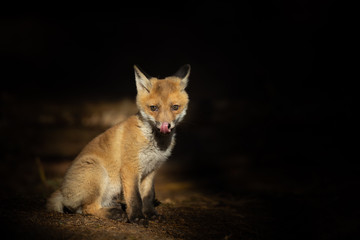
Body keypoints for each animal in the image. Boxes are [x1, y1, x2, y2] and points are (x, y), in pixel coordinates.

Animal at [47, 64, 191, 225]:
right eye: (153, 108)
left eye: (175, 107)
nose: (166, 125)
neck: (155, 145)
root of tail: (61, 190)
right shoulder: (130, 168)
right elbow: (135, 198)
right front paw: (137, 218)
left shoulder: (151, 171)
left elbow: (148, 197)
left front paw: (150, 214)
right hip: (97, 171)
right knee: (87, 209)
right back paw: (114, 214)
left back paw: (117, 208)